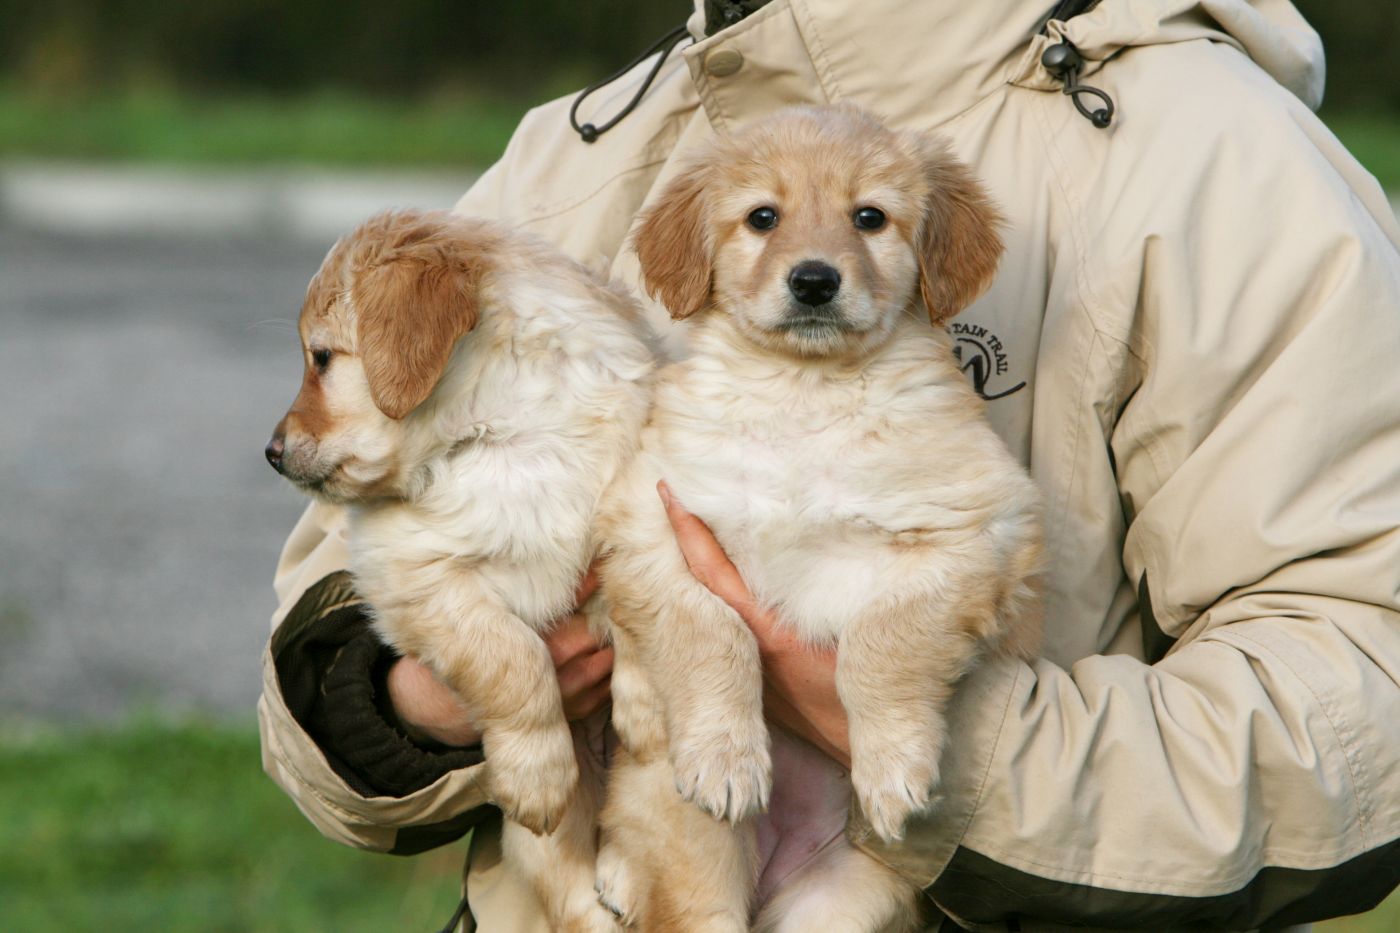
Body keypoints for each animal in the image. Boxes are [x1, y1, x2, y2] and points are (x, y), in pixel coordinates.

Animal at [266, 210, 649, 930]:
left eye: (321, 358)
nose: (270, 453)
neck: (493, 433)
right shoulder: (416, 578)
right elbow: (512, 657)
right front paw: (538, 773)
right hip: (543, 845)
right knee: (572, 894)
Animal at [596, 103, 1047, 930]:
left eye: (869, 217)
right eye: (762, 217)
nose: (813, 280)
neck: (802, 393)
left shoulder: (977, 530)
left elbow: (884, 639)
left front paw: (894, 764)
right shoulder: (653, 516)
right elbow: (708, 628)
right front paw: (725, 755)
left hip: (840, 905)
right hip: (696, 864)